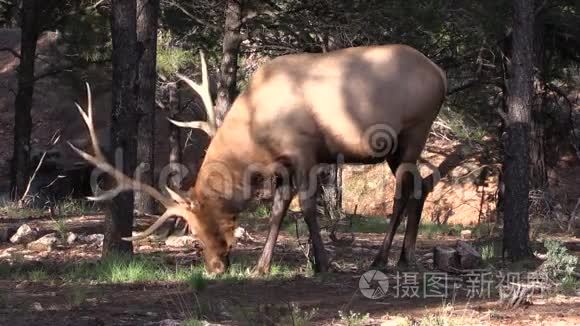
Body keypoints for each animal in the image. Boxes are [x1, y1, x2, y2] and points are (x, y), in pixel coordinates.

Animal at [71, 45, 444, 276]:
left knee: (403, 191)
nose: (214, 267)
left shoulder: (304, 151)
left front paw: (323, 264)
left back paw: (381, 259)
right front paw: (261, 265)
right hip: (399, 147)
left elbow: (306, 207)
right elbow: (278, 208)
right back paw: (406, 257)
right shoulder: (282, 164)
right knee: (423, 185)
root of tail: (440, 74)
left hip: (413, 130)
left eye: (199, 229)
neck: (256, 132)